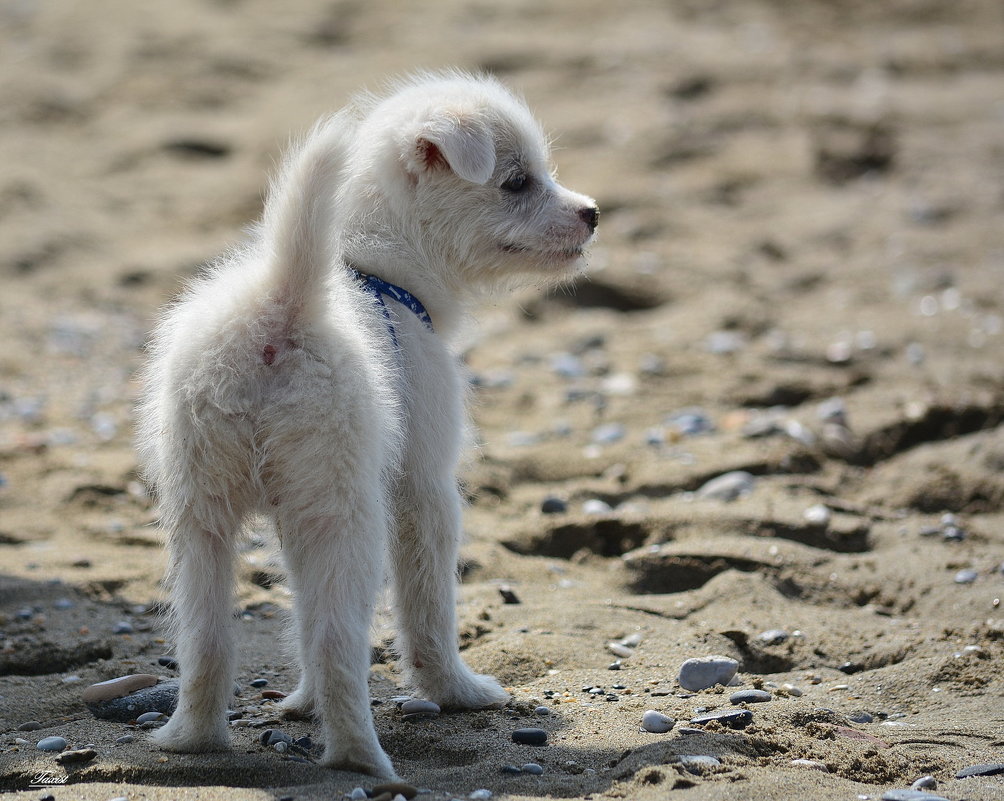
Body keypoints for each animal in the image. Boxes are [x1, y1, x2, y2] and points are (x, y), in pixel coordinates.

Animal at [137, 72, 598, 782]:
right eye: (518, 182)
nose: (594, 212)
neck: (373, 266)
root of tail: (283, 306)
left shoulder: (287, 517)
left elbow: (299, 612)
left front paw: (300, 704)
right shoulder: (423, 486)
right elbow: (428, 610)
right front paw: (459, 693)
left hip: (201, 514)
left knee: (207, 638)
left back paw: (192, 741)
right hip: (348, 512)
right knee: (338, 642)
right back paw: (362, 760)